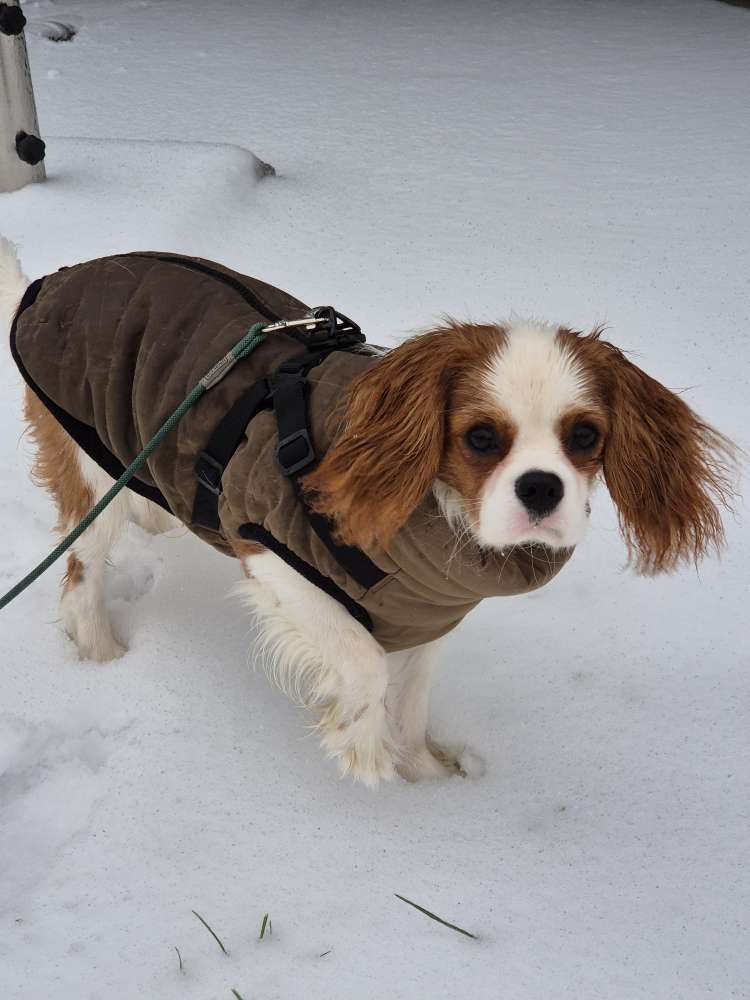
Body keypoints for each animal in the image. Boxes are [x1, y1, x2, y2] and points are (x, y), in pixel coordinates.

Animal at [0, 238, 736, 784]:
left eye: (584, 437)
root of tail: (51, 284)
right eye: (479, 439)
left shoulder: (426, 612)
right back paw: (101, 654)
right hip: (89, 472)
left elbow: (410, 701)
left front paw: (425, 782)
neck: (436, 518)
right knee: (80, 573)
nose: (541, 489)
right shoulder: (271, 550)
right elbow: (364, 664)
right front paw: (363, 749)